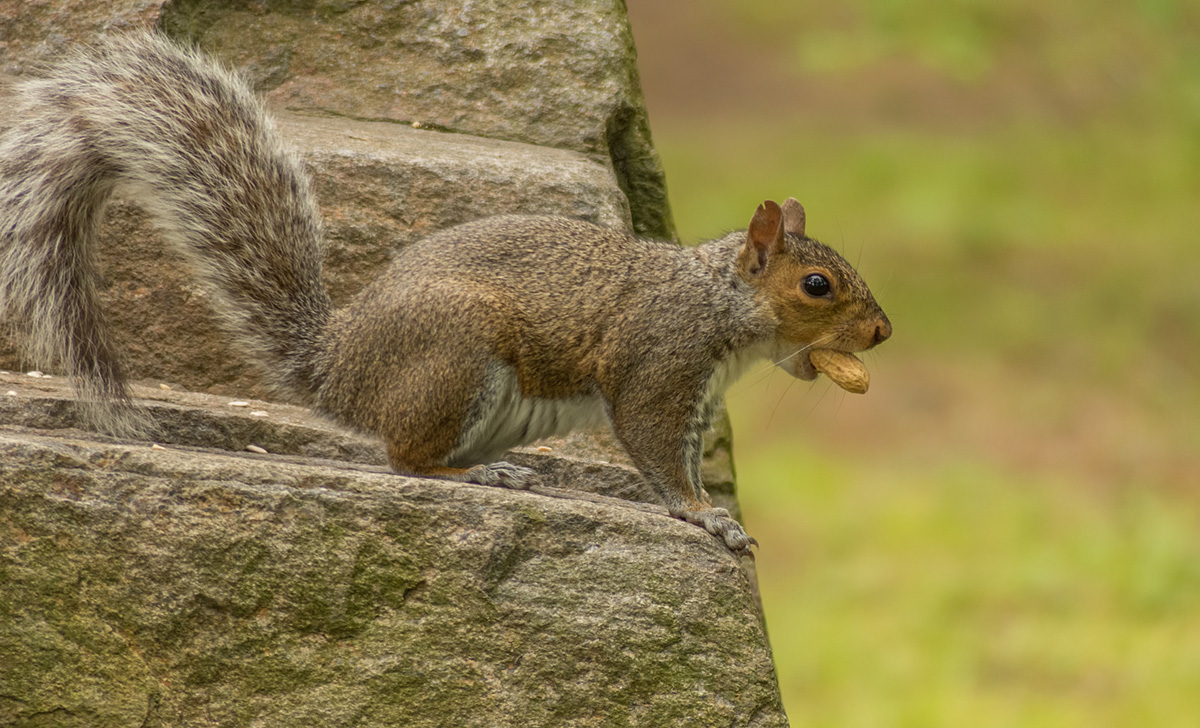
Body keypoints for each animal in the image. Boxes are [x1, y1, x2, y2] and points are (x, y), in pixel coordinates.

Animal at [0, 34, 892, 556]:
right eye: (817, 285)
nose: (883, 334)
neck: (718, 303)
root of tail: (340, 371)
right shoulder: (659, 365)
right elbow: (653, 447)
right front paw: (706, 515)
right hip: (456, 358)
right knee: (406, 461)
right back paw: (477, 479)